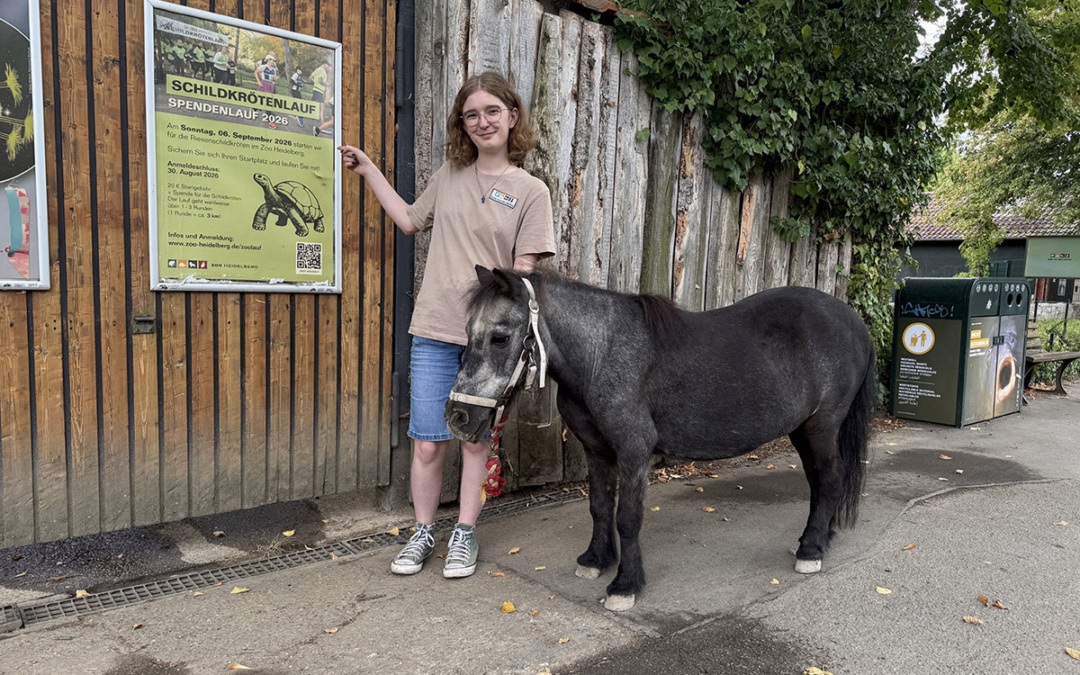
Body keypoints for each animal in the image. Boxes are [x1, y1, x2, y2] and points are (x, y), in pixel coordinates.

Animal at [446, 267, 875, 612]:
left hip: (822, 426)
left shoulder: (634, 451)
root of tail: (854, 322)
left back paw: (811, 549)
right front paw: (595, 561)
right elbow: (600, 507)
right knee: (820, 483)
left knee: (830, 480)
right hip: (803, 430)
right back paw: (816, 538)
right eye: (467, 333)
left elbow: (628, 518)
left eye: (500, 337)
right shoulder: (597, 451)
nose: (457, 416)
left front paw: (624, 586)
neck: (602, 354)